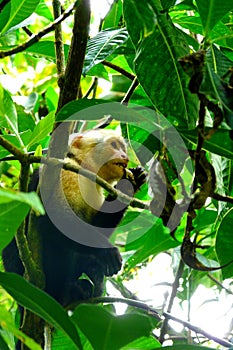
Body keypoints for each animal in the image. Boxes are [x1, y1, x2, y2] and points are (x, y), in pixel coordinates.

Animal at [2, 129, 147, 306]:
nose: (125, 156)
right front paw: (107, 251)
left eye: (123, 149)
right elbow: (51, 223)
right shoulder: (65, 171)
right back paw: (65, 291)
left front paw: (130, 183)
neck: (82, 167)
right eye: (114, 145)